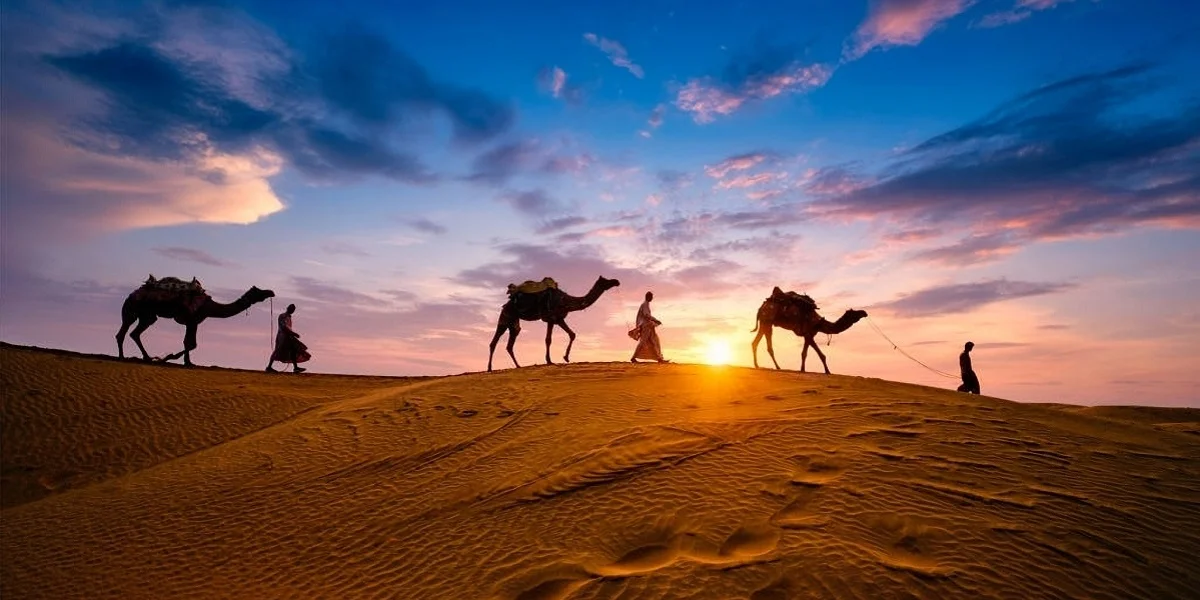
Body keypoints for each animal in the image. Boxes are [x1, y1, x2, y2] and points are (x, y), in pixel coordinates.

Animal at [115, 284, 274, 364]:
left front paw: (187, 362)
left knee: (132, 333)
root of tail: (130, 295)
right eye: (259, 291)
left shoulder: (193, 322)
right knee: (124, 332)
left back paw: (145, 357)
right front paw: (170, 357)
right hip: (134, 310)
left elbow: (189, 343)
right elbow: (191, 344)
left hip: (147, 316)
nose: (271, 292)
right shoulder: (192, 320)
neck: (210, 307)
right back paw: (124, 357)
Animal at [487, 274, 619, 369]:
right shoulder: (550, 318)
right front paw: (550, 361)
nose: (617, 281)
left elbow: (571, 334)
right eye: (606, 281)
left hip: (514, 323)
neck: (565, 301)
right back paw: (489, 368)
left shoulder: (558, 319)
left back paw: (518, 366)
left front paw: (565, 358)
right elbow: (548, 340)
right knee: (494, 342)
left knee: (510, 344)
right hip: (505, 317)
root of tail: (507, 303)